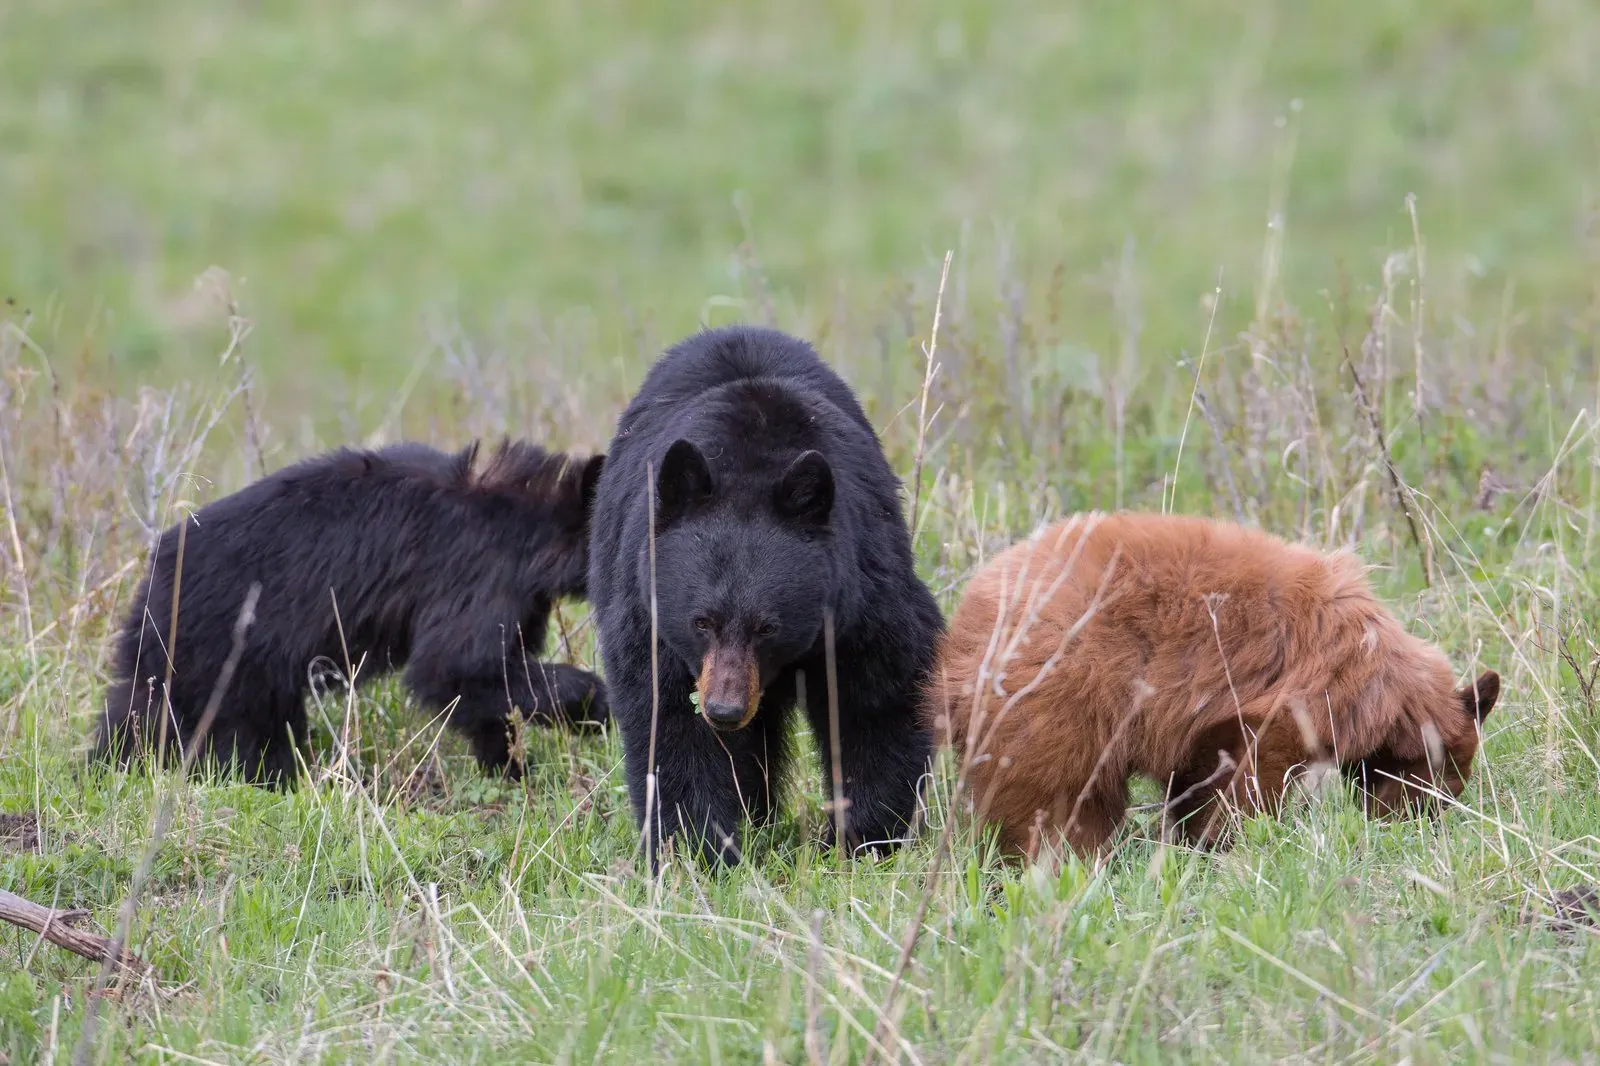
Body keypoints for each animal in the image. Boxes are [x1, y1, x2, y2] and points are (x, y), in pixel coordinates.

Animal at [94, 438, 609, 785]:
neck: (530, 525)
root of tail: (147, 587)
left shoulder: (521, 598)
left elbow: (488, 684)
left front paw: (511, 767)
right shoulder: (481, 577)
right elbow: (453, 667)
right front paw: (595, 706)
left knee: (139, 715)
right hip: (224, 651)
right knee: (239, 733)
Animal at [587, 325, 945, 869]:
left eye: (768, 627)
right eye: (701, 622)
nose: (724, 710)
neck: (748, 460)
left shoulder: (861, 597)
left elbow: (878, 696)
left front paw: (860, 840)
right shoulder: (648, 611)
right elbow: (670, 721)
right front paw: (697, 850)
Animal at [923, 511, 1500, 860]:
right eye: (1450, 778)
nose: (1425, 821)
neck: (1381, 671)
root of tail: (967, 626)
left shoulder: (1210, 724)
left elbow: (1202, 773)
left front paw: (1192, 840)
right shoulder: (1298, 695)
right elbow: (1255, 772)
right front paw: (1233, 839)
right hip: (1060, 691)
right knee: (1051, 791)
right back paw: (1056, 857)